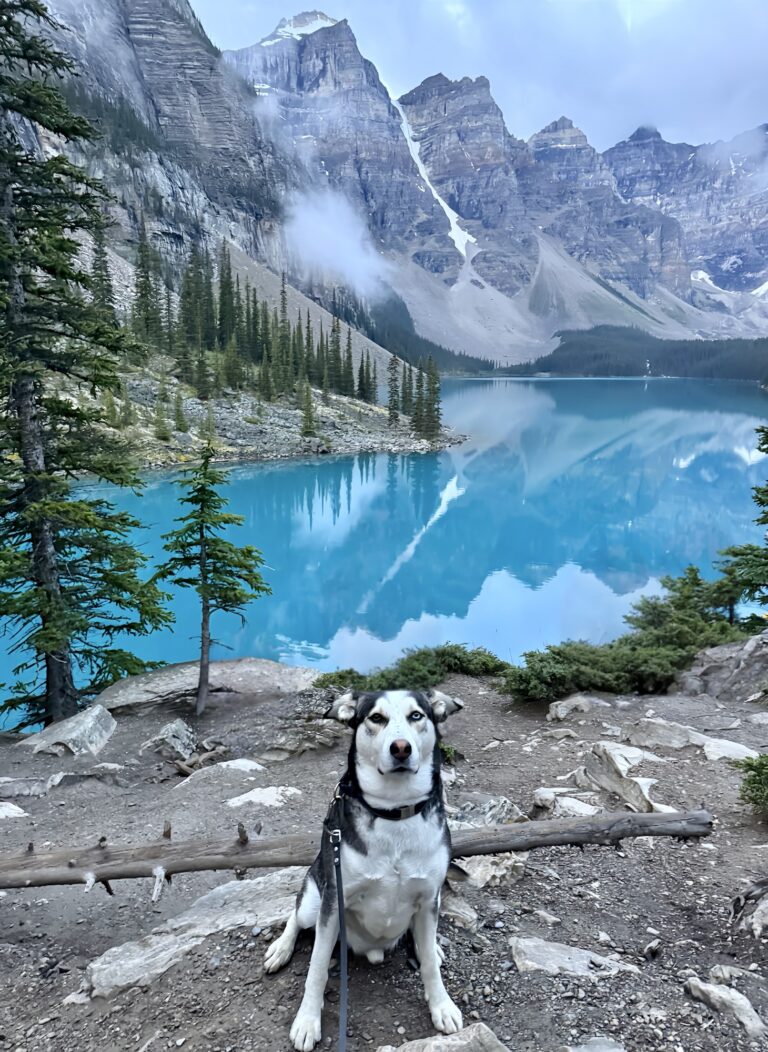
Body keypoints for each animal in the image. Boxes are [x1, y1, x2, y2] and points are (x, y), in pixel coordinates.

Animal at [264, 688, 465, 1051]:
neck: (394, 812)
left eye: (417, 715)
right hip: (315, 896)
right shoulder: (334, 901)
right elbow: (316, 968)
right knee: (295, 917)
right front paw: (307, 1021)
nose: (401, 748)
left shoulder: (429, 896)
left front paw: (442, 1006)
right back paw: (280, 949)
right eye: (376, 718)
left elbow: (429, 965)